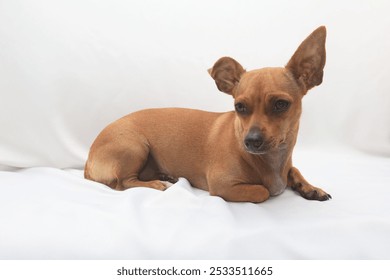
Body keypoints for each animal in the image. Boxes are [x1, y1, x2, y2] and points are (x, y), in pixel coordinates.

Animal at [84, 26, 330, 202]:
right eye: (239, 107)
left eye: (281, 104)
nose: (251, 141)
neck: (273, 160)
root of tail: (88, 163)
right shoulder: (223, 185)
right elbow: (263, 191)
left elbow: (294, 170)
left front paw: (310, 188)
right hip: (135, 145)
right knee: (123, 183)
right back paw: (157, 184)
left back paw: (164, 176)